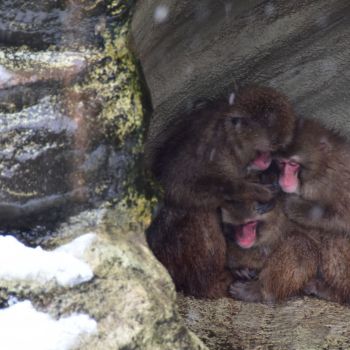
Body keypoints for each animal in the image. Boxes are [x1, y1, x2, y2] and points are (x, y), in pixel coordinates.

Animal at [145, 86, 296, 296]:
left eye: (274, 151)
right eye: (263, 151)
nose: (267, 161)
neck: (231, 145)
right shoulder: (212, 149)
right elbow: (179, 187)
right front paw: (253, 192)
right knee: (199, 211)